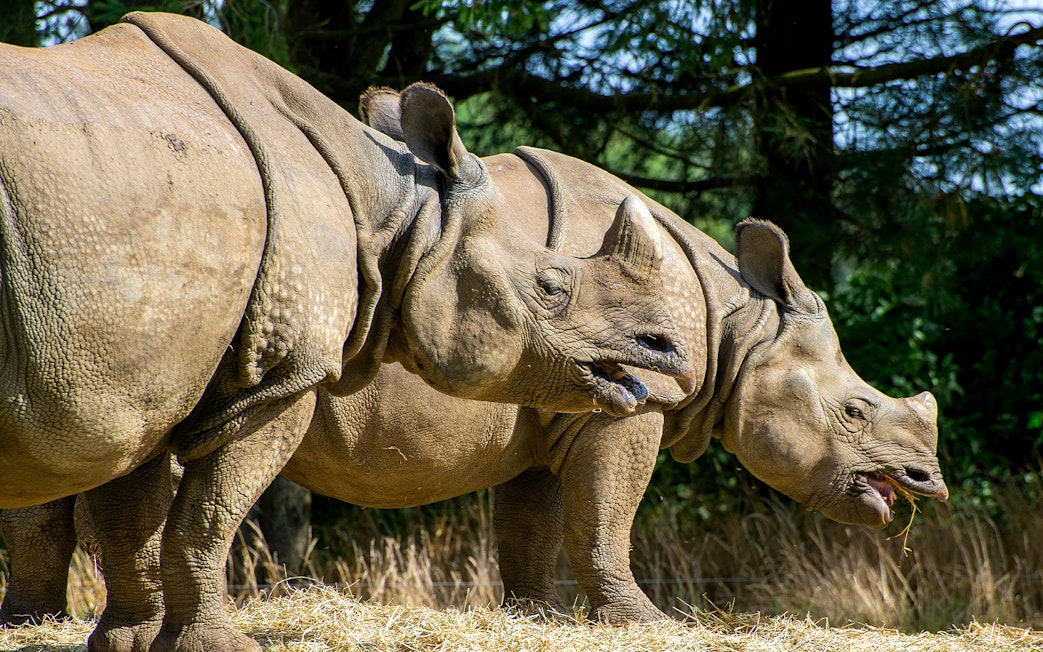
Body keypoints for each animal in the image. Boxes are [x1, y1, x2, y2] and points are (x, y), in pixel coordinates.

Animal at [0, 13, 698, 652]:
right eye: (553, 287)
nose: (666, 351)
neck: (401, 215)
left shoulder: (152, 370)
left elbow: (133, 519)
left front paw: (129, 641)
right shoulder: (275, 375)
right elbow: (206, 515)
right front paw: (216, 645)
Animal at [1, 87, 949, 630]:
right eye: (857, 408)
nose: (927, 482)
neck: (735, 325)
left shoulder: (568, 396)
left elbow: (533, 525)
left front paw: (535, 615)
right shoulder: (632, 401)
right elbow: (605, 520)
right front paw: (646, 622)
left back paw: (32, 625)